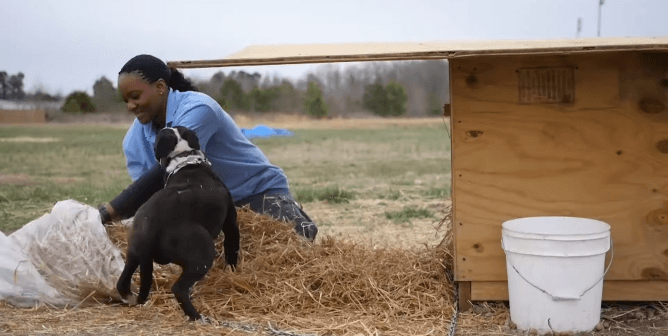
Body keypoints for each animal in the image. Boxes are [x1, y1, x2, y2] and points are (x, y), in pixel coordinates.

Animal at [117, 125, 240, 320]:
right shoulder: (231, 225)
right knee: (179, 289)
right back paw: (197, 317)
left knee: (122, 283)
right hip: (202, 255)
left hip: (134, 253)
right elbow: (232, 251)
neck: (185, 158)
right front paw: (232, 272)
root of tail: (152, 225)